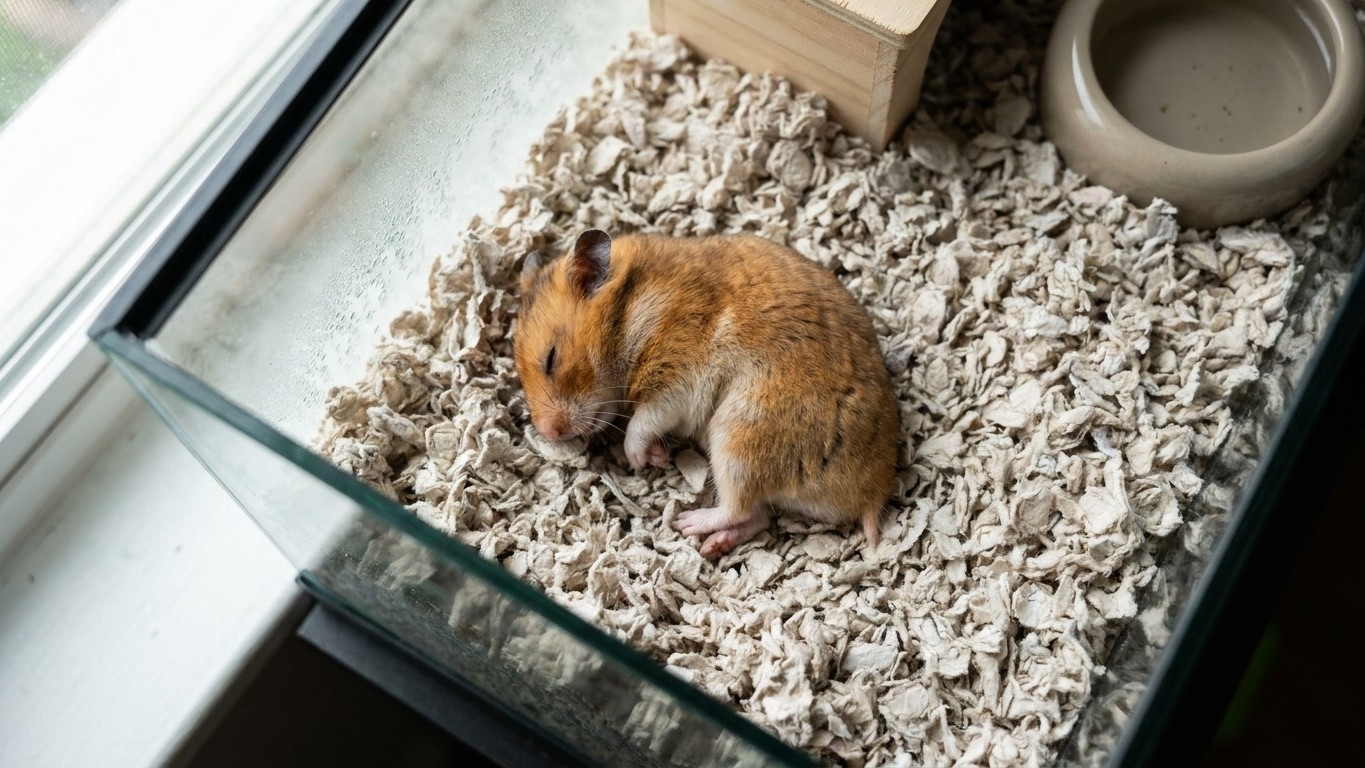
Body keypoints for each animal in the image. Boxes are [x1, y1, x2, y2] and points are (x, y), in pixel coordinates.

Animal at [514, 229, 899, 559]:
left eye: (551, 359)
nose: (549, 432)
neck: (631, 309)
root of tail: (870, 496)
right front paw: (658, 458)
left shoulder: (674, 381)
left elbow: (642, 423)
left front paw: (639, 460)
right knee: (759, 516)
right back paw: (712, 545)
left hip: (739, 438)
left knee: (738, 508)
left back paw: (688, 523)